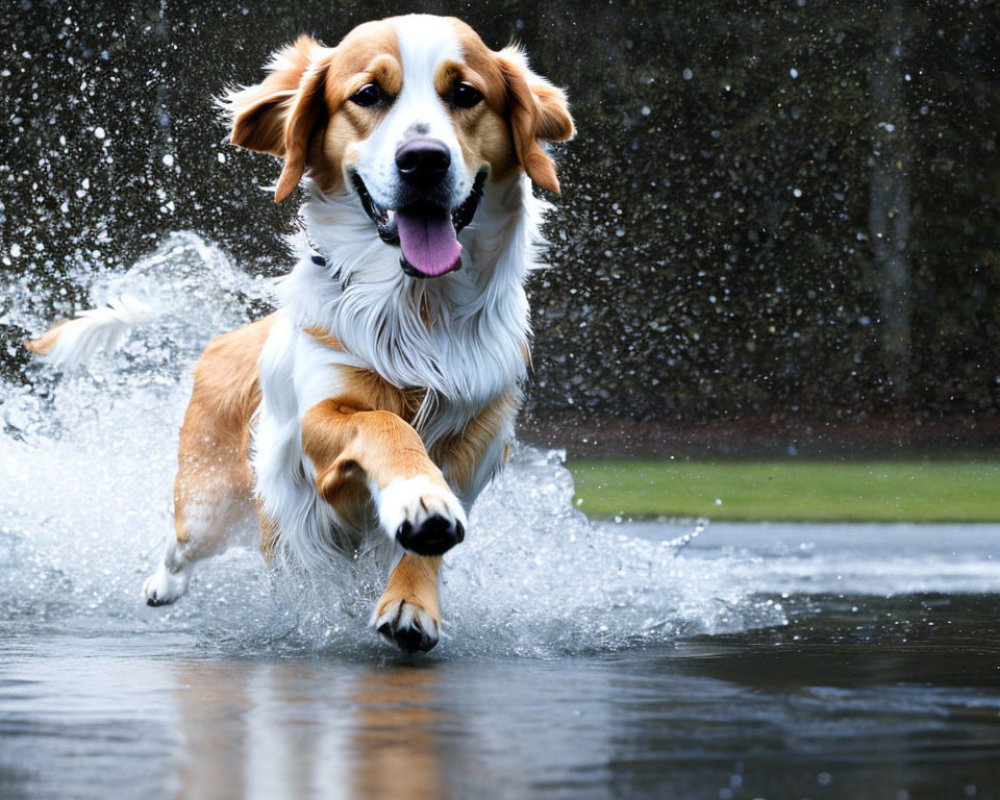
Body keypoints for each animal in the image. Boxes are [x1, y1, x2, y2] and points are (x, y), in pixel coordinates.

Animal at [27, 15, 576, 652]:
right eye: (368, 94)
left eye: (465, 93)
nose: (424, 160)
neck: (416, 310)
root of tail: (230, 337)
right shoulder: (319, 418)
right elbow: (385, 425)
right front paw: (417, 494)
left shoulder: (477, 440)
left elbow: (434, 524)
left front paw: (413, 601)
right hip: (210, 504)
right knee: (182, 541)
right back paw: (159, 586)